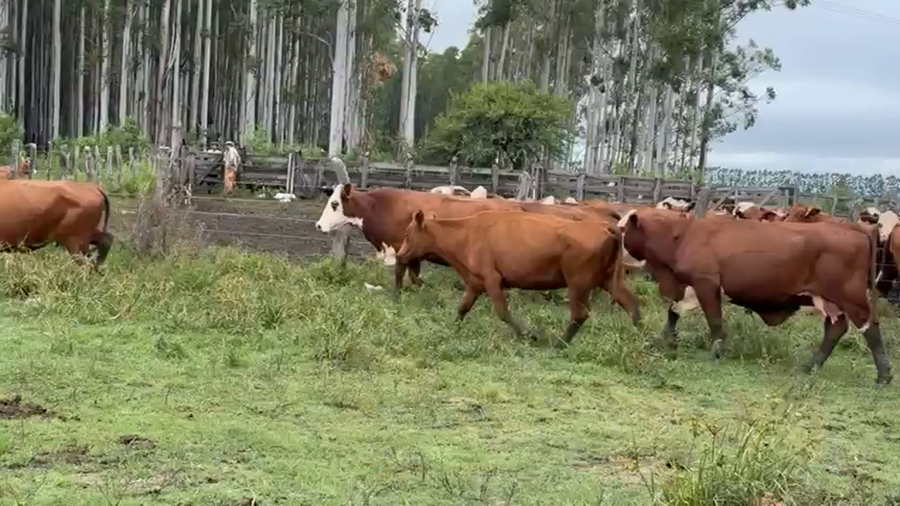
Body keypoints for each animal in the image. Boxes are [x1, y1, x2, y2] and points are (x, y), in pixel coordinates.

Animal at [396, 209, 641, 346]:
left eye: (407, 234)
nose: (399, 254)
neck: (466, 232)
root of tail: (605, 226)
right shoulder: (475, 282)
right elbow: (462, 308)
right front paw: (451, 329)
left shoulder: (492, 280)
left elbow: (502, 312)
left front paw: (526, 335)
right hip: (609, 280)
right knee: (631, 304)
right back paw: (644, 340)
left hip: (578, 283)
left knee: (579, 314)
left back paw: (559, 344)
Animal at [617, 210, 891, 385]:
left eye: (622, 229)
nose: (611, 237)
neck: (682, 235)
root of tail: (850, 226)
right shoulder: (680, 285)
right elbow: (673, 312)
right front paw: (664, 341)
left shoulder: (707, 284)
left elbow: (714, 320)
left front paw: (715, 352)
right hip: (828, 301)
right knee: (835, 329)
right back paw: (812, 365)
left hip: (852, 298)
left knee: (871, 328)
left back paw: (884, 375)